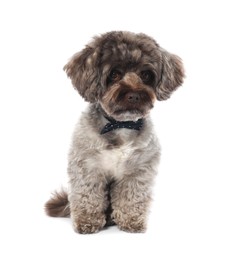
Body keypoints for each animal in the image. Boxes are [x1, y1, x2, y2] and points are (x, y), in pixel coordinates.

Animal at [44, 30, 185, 234]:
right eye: (114, 74)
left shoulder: (138, 171)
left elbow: (132, 198)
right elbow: (88, 196)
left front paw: (132, 221)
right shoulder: (88, 168)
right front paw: (88, 222)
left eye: (146, 74)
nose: (134, 95)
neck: (121, 125)